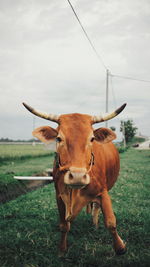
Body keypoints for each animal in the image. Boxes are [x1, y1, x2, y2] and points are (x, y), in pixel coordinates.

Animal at [22, 101, 127, 256]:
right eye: (59, 138)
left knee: (96, 207)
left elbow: (111, 222)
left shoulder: (103, 191)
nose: (77, 176)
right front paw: (62, 249)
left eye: (92, 139)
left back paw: (95, 224)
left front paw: (120, 247)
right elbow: (64, 225)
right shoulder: (59, 195)